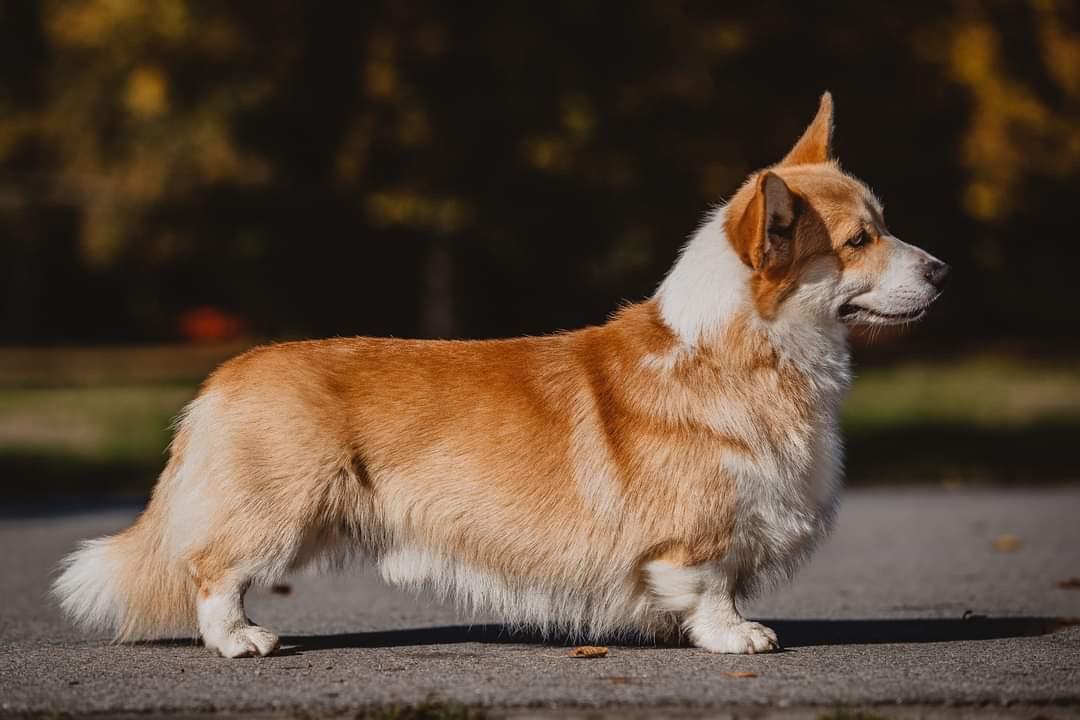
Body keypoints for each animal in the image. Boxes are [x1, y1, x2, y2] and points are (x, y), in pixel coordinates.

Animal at [54, 94, 946, 660]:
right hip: (278, 512)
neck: (744, 349)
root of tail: (222, 379)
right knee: (214, 574)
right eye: (860, 241)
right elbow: (712, 587)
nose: (942, 272)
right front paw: (736, 636)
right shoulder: (700, 534)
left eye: (884, 227)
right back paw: (242, 641)